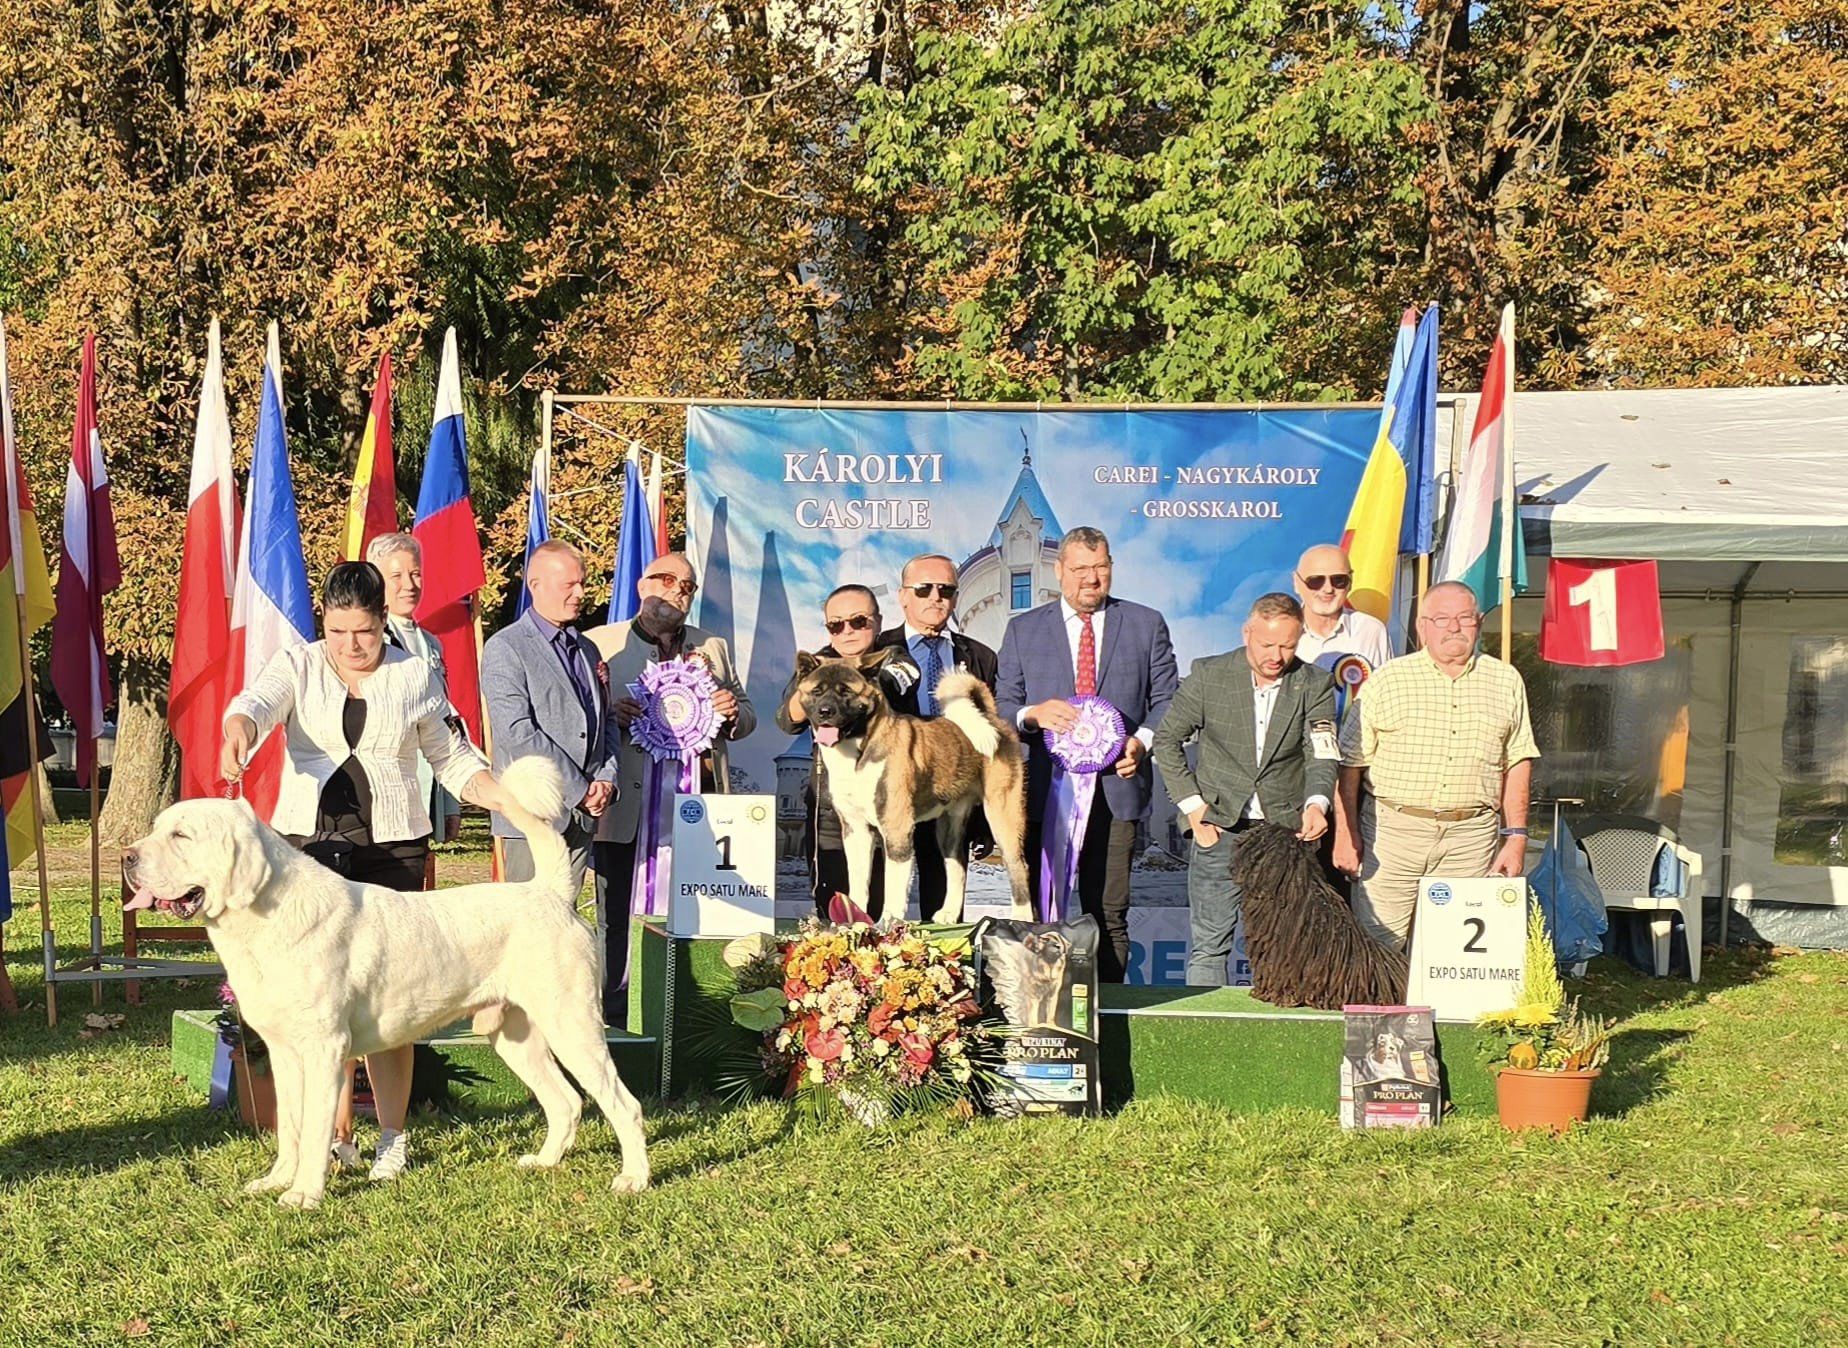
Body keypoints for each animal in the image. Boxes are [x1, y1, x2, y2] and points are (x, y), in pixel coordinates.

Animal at [124, 758, 650, 1213]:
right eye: (158, 828)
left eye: (181, 835)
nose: (128, 856)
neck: (263, 917)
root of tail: (550, 893)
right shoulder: (283, 1053)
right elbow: (289, 1127)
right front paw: (277, 1180)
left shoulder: (323, 1050)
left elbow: (314, 1130)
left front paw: (304, 1194)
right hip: (515, 1036)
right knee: (566, 1102)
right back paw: (543, 1162)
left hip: (572, 1026)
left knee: (623, 1104)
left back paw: (634, 1180)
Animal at [790, 650, 1034, 924]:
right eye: (817, 691)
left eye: (846, 692)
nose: (825, 711)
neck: (859, 749)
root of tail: (990, 718)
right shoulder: (856, 830)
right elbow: (859, 884)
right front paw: (855, 922)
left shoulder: (896, 828)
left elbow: (893, 885)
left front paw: (887, 924)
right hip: (949, 824)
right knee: (958, 863)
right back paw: (949, 914)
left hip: (1003, 815)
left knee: (1018, 867)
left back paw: (1022, 919)